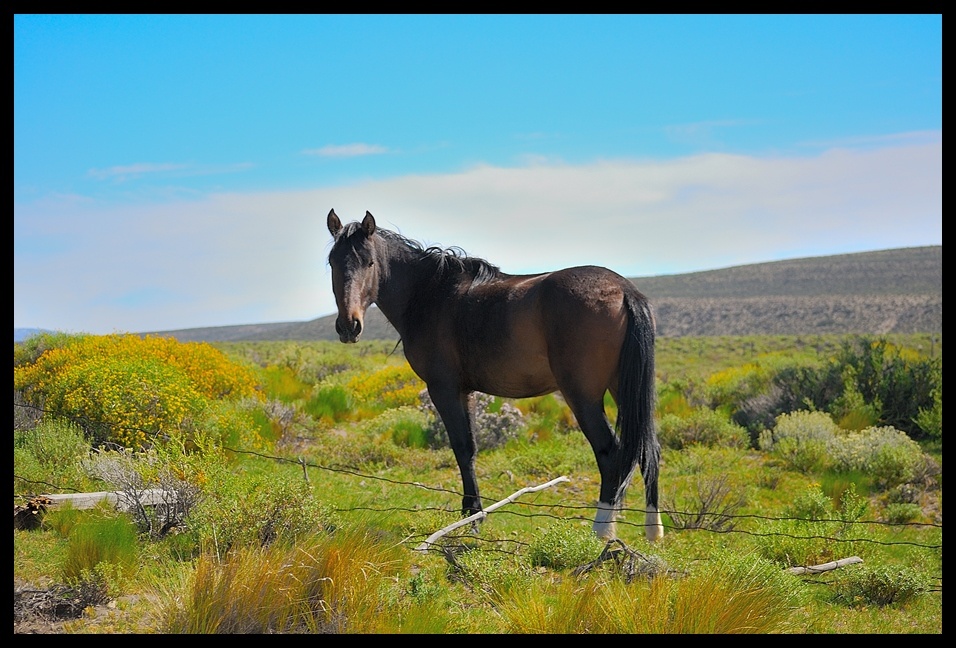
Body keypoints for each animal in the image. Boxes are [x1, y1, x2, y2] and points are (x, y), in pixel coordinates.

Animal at [324, 209, 660, 540]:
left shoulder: (443, 388)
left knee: (611, 452)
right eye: (332, 262)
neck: (429, 294)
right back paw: (652, 528)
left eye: (369, 262)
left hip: (583, 396)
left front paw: (472, 516)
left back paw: (602, 528)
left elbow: (461, 447)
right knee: (649, 448)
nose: (349, 326)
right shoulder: (465, 391)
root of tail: (625, 290)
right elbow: (470, 449)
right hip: (623, 388)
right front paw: (473, 512)